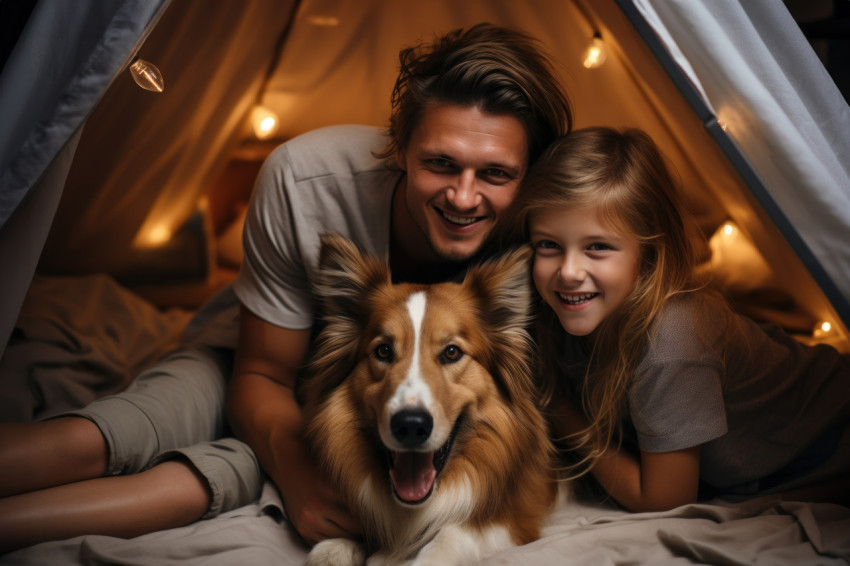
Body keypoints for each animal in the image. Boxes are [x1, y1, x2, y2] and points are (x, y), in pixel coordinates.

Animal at [298, 233, 556, 564]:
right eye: (383, 351)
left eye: (452, 352)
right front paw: (335, 548)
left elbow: (453, 533)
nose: (410, 425)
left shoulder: (520, 514)